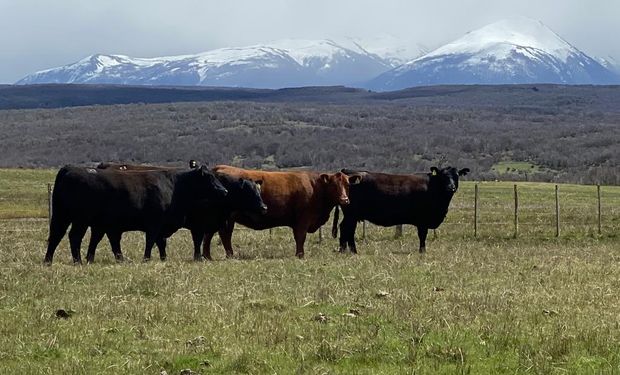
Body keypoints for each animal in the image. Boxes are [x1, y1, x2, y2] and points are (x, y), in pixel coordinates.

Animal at [203, 166, 360, 260]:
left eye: (347, 184)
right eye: (334, 185)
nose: (344, 199)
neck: (316, 188)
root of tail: (219, 168)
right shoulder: (303, 219)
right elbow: (300, 237)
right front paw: (300, 255)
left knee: (211, 234)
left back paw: (207, 256)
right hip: (227, 217)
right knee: (224, 235)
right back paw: (229, 255)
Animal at [334, 168, 470, 254]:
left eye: (457, 176)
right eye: (443, 176)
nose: (451, 187)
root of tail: (347, 173)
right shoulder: (423, 220)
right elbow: (422, 236)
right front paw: (422, 251)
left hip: (353, 215)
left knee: (348, 230)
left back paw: (350, 251)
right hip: (351, 215)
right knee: (346, 228)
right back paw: (345, 251)